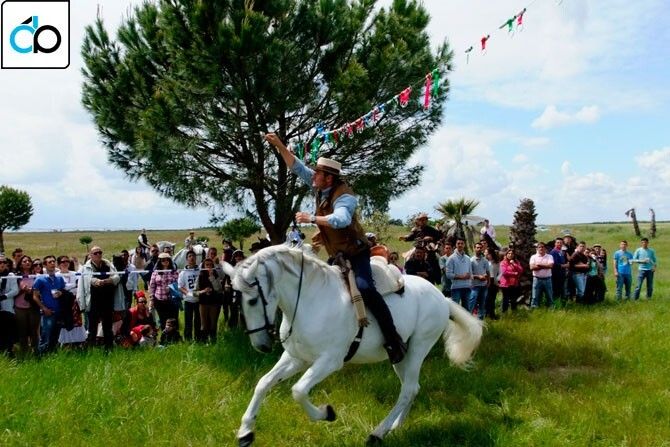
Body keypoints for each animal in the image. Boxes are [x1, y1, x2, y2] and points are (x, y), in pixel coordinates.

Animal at [221, 244, 484, 446]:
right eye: (235, 298)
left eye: (252, 300)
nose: (262, 346)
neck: (310, 299)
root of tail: (442, 298)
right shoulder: (297, 358)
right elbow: (263, 383)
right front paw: (245, 432)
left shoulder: (329, 361)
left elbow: (298, 390)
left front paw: (326, 413)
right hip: (401, 356)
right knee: (411, 388)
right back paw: (395, 427)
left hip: (419, 347)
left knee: (408, 389)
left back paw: (377, 433)